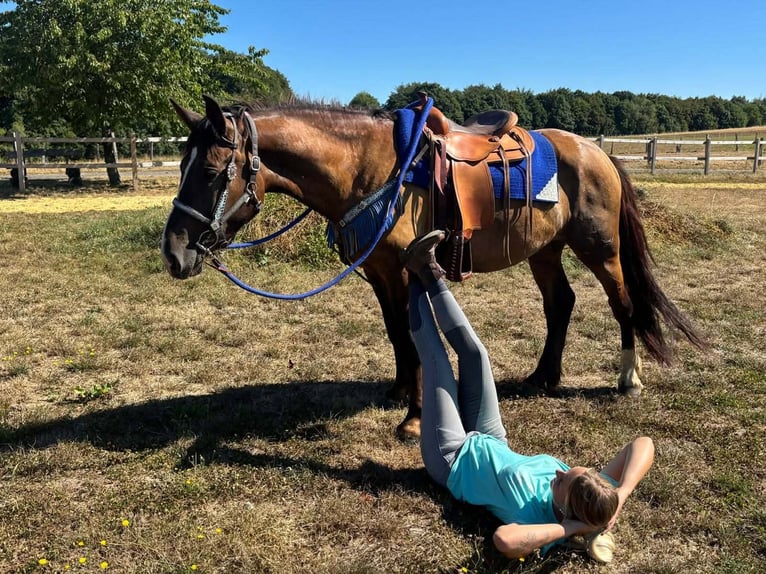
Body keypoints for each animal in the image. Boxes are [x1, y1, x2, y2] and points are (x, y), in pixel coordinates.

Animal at [161, 95, 706, 440]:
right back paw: (542, 377)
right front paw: (399, 391)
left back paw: (628, 379)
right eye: (182, 165)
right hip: (545, 250)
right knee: (561, 305)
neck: (370, 169)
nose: (174, 253)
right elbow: (396, 332)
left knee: (623, 303)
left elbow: (416, 333)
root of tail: (598, 152)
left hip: (600, 247)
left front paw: (414, 418)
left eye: (209, 171)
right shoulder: (380, 271)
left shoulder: (408, 268)